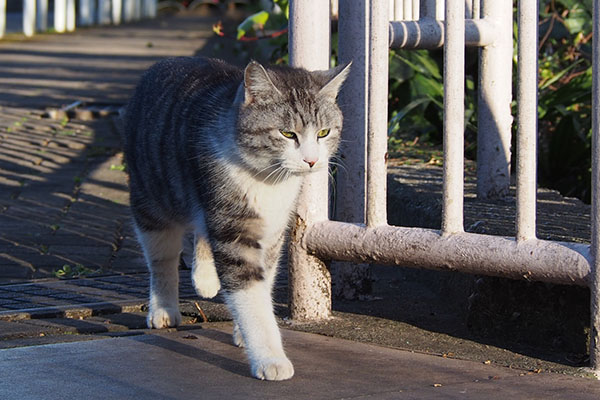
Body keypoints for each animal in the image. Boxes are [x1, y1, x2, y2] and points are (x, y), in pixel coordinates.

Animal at [122, 57, 350, 382]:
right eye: (287, 134)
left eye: (323, 133)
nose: (311, 161)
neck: (269, 181)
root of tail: (164, 63)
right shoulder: (233, 228)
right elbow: (249, 295)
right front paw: (270, 357)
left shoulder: (272, 232)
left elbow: (264, 282)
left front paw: (244, 331)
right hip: (151, 197)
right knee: (162, 259)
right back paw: (163, 309)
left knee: (201, 231)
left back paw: (205, 279)